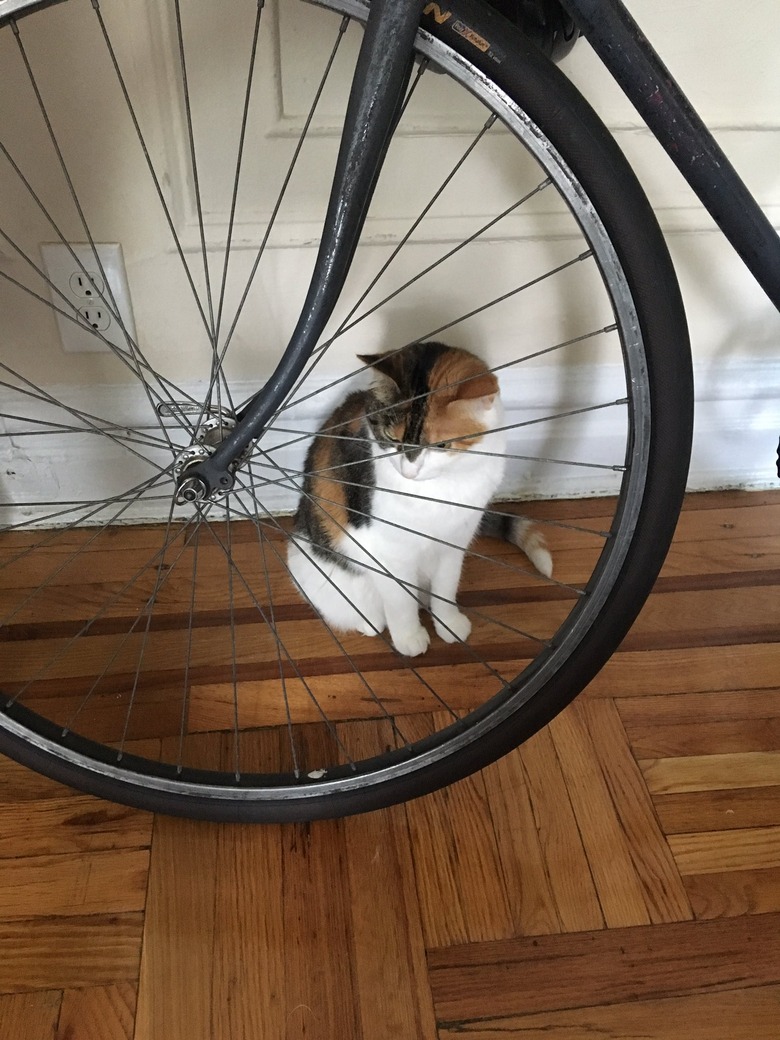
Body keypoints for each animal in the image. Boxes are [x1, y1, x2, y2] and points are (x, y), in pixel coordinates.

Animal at [289, 345, 557, 661]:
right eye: (391, 438)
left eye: (441, 446)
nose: (409, 471)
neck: (439, 491)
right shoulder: (388, 551)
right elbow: (400, 601)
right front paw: (409, 638)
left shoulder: (455, 541)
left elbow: (446, 586)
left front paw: (448, 623)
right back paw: (370, 622)